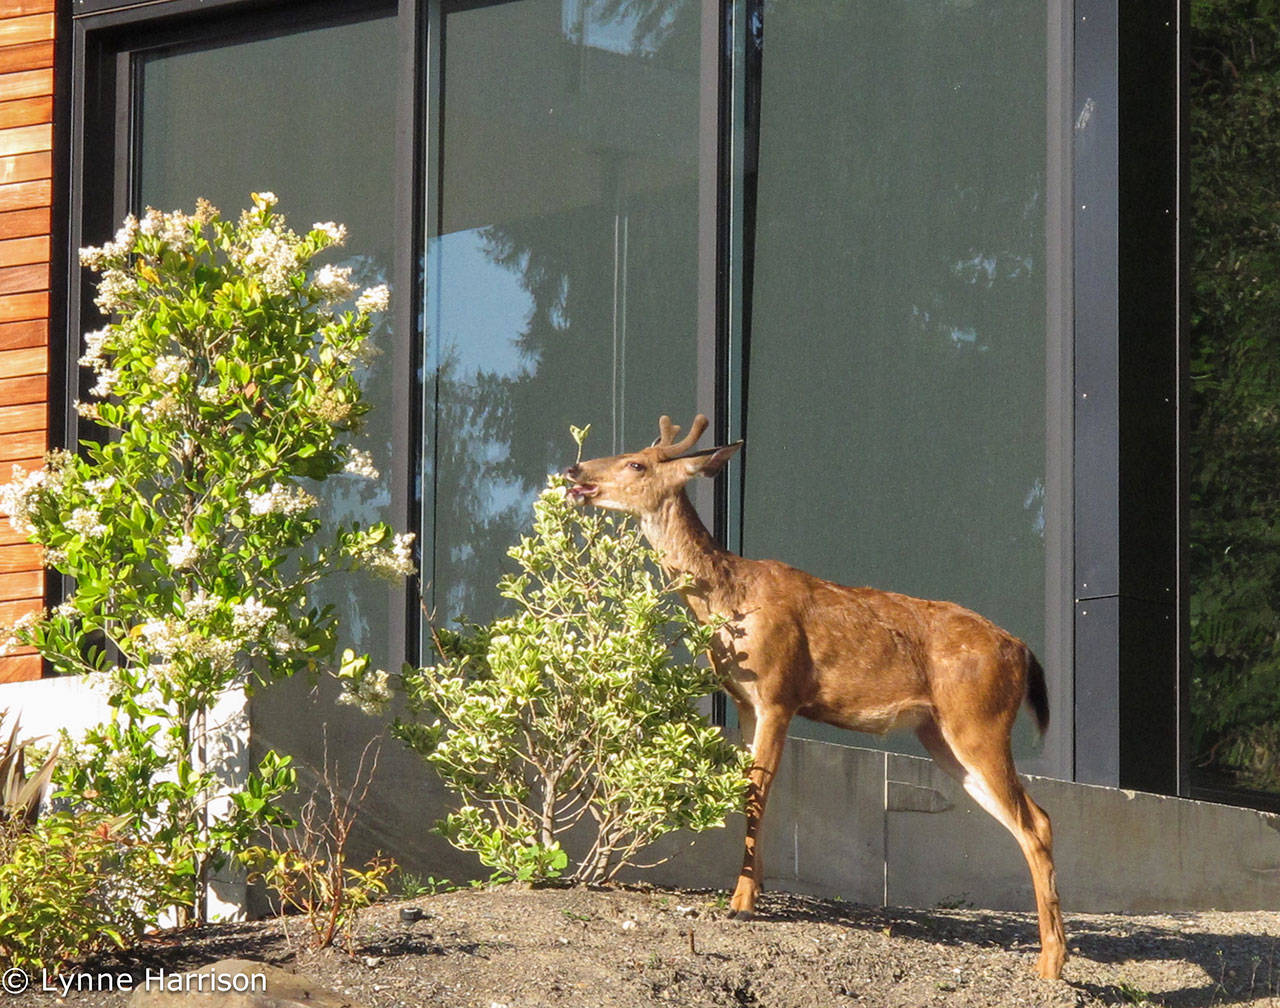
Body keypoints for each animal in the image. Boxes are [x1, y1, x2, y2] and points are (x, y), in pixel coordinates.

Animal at [570, 411, 1070, 977]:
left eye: (636, 463)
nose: (574, 470)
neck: (729, 604)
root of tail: (1023, 651)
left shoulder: (779, 693)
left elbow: (757, 793)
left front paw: (741, 903)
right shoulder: (745, 703)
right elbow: (750, 790)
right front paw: (757, 887)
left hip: (979, 720)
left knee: (1036, 822)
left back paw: (1052, 963)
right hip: (939, 734)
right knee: (1032, 818)